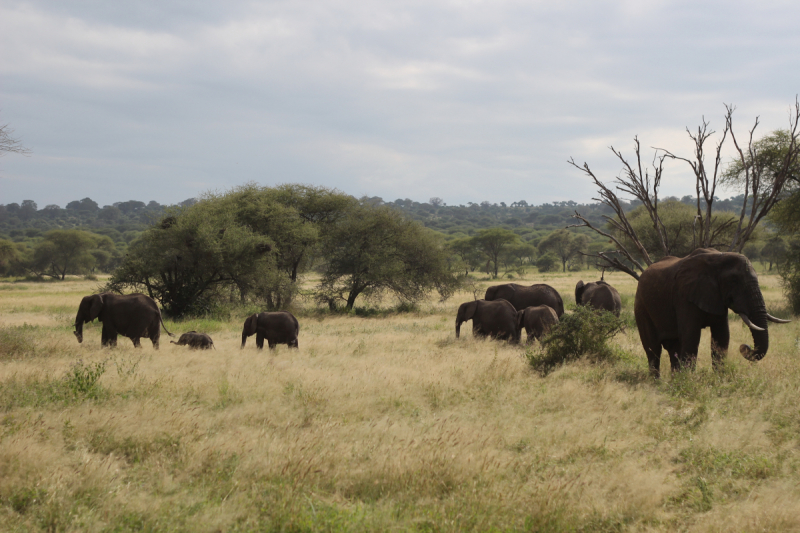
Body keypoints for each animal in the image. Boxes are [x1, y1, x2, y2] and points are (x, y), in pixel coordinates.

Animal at [636, 247, 792, 376]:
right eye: (734, 281)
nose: (745, 346)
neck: (718, 257)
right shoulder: (684, 296)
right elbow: (691, 336)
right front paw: (689, 381)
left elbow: (722, 336)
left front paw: (719, 379)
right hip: (641, 307)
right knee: (653, 349)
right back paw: (657, 382)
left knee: (673, 348)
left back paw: (674, 379)